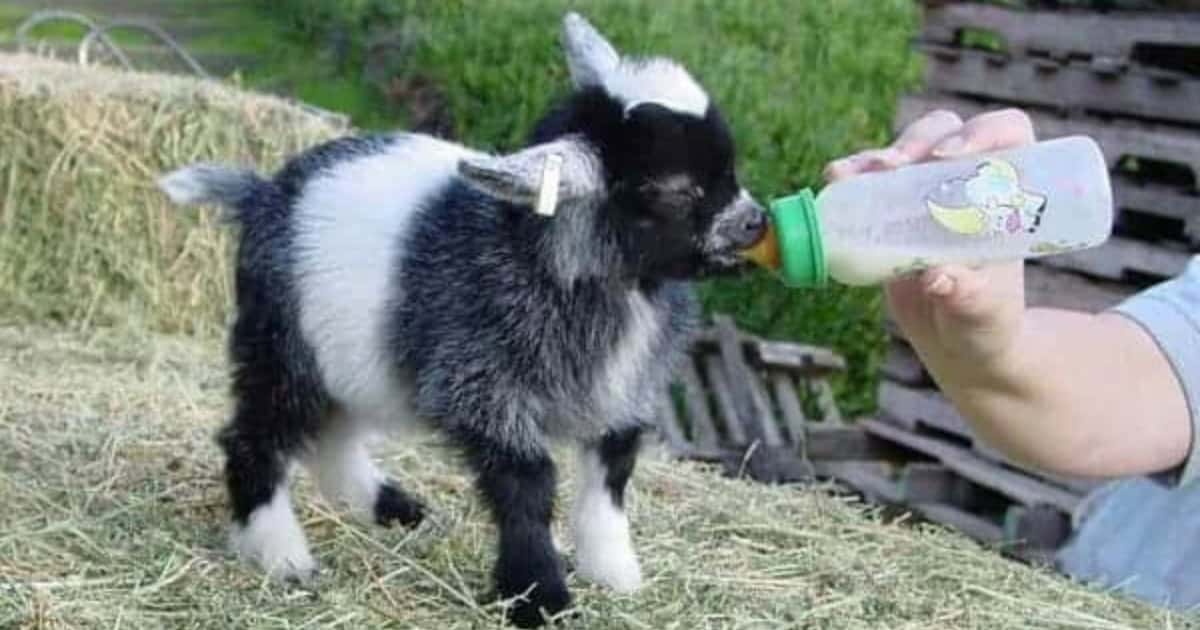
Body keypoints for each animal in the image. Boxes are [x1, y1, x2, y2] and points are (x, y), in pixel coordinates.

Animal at [159, 12, 766, 627]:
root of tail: (260, 196)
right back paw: (280, 554)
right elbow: (528, 486)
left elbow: (610, 480)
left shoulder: (619, 395)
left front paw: (614, 573)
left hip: (354, 362)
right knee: (255, 435)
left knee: (332, 434)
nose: (756, 223)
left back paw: (388, 505)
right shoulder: (482, 387)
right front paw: (539, 596)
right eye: (674, 189)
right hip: (282, 344)